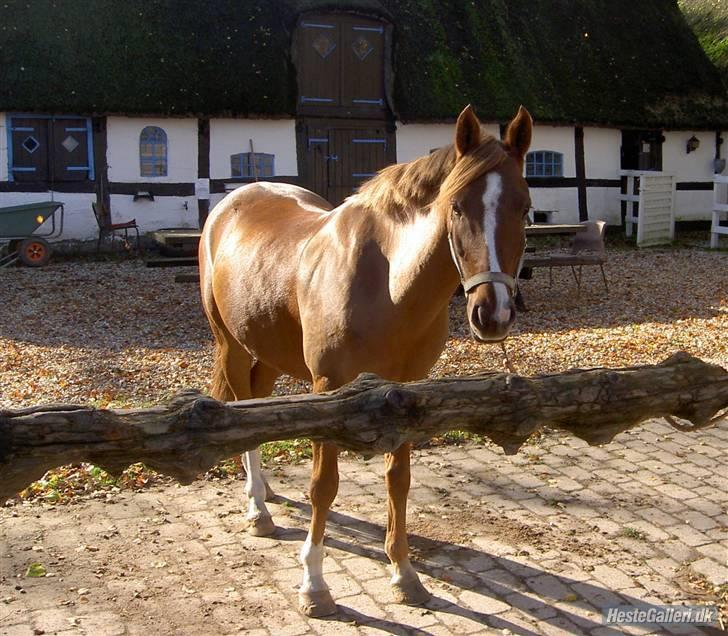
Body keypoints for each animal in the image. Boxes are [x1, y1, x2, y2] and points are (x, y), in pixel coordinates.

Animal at [202, 104, 532, 616]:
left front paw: (404, 574)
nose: (491, 313)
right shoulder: (327, 389)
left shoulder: (407, 395)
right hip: (231, 346)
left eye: (526, 208)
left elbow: (399, 480)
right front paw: (314, 585)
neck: (387, 284)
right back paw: (258, 510)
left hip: (268, 351)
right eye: (457, 207)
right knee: (241, 408)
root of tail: (233, 202)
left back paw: (266, 492)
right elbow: (324, 486)